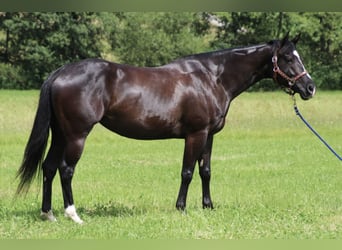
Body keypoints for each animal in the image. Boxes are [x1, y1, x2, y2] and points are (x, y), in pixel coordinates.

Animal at [16, 33, 316, 223]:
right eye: (288, 58)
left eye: (297, 56)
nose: (310, 87)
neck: (212, 77)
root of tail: (60, 72)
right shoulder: (195, 134)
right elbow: (187, 172)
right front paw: (181, 209)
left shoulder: (209, 136)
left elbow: (205, 172)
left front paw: (208, 206)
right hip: (77, 135)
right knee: (66, 170)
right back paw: (73, 215)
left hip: (61, 134)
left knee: (48, 167)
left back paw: (48, 214)